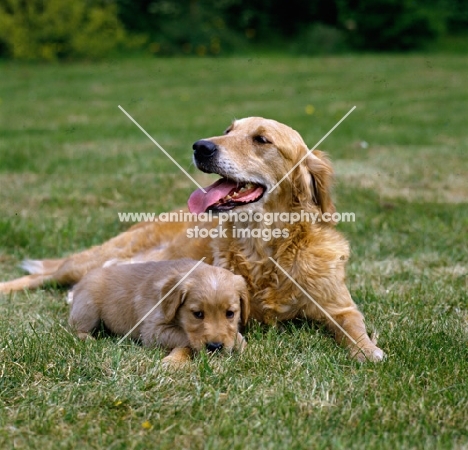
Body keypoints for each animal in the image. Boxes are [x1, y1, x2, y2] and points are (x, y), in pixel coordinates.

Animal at [68, 258, 250, 364]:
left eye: (230, 313)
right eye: (197, 314)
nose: (215, 346)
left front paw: (240, 344)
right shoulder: (153, 330)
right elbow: (184, 337)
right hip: (87, 307)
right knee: (74, 329)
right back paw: (90, 340)